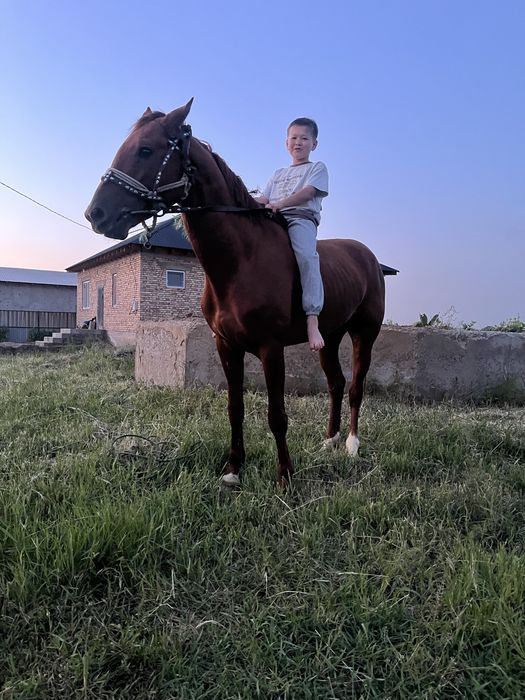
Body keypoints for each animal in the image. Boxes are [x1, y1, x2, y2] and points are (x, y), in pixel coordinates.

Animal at [85, 99, 385, 487]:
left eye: (146, 150)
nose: (96, 214)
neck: (241, 260)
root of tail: (368, 256)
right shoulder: (227, 346)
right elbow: (235, 408)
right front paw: (232, 469)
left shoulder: (271, 349)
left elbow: (277, 415)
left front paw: (285, 476)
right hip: (329, 338)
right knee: (336, 382)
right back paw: (329, 440)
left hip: (365, 333)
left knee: (355, 387)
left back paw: (351, 444)